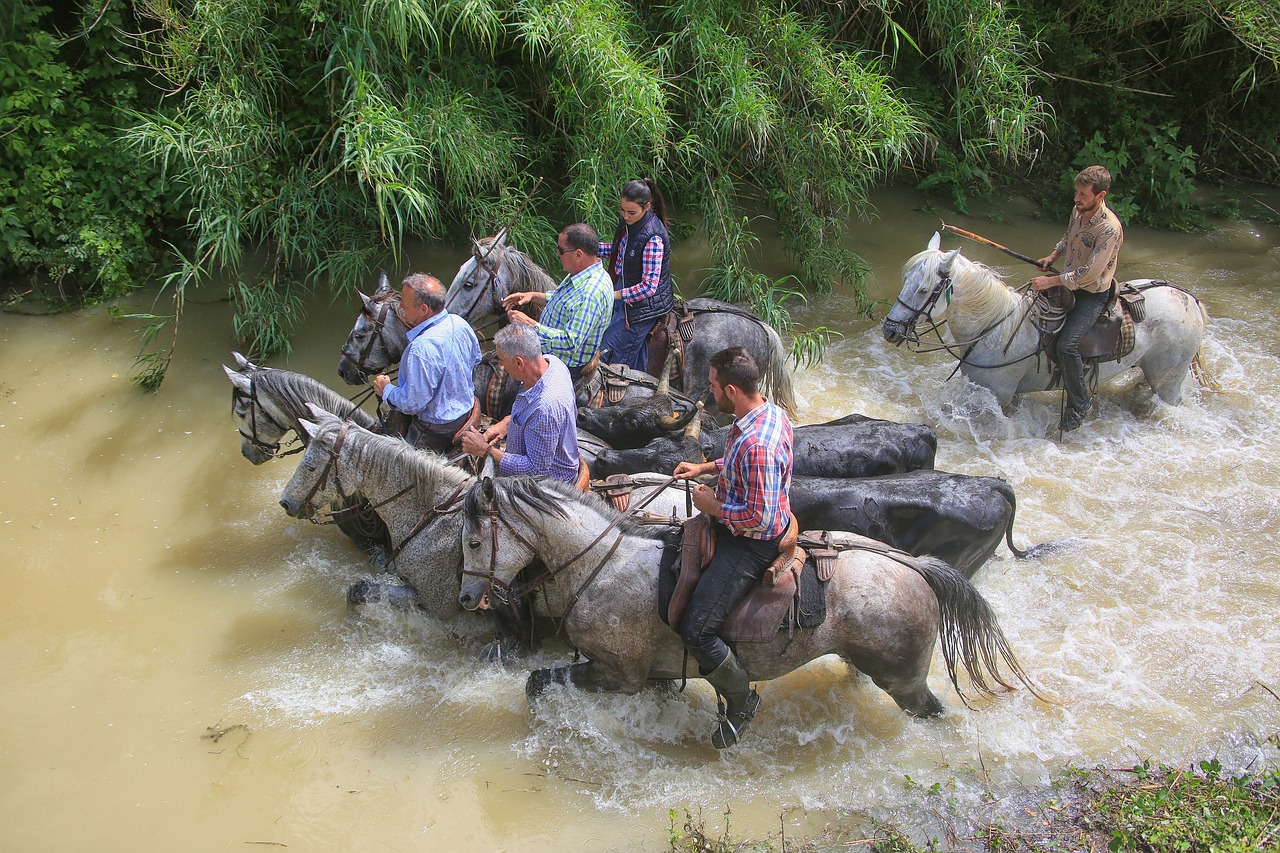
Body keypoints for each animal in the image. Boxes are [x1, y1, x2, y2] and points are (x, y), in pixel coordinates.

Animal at [885, 230, 1203, 407]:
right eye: (905, 280)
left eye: (924, 289)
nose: (890, 329)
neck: (993, 330)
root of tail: (1190, 299)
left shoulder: (999, 395)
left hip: (1168, 380)